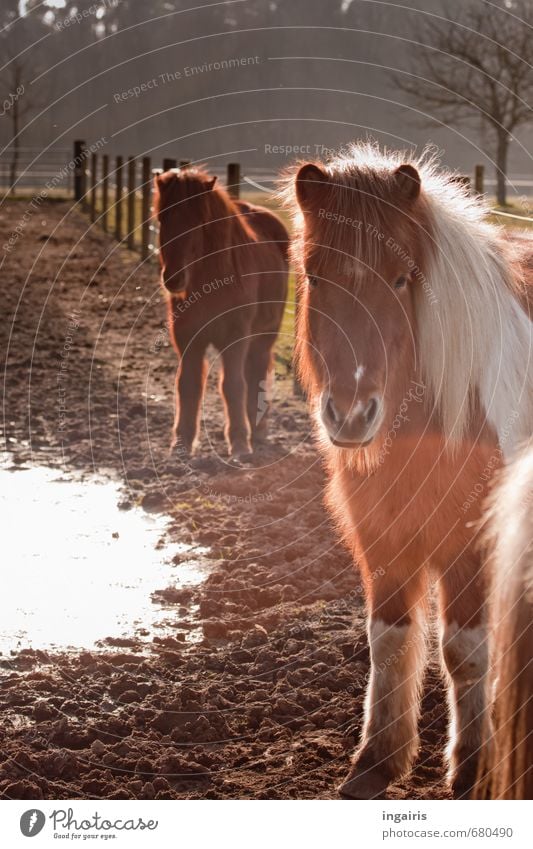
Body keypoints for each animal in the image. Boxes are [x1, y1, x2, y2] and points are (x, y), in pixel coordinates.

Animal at [153, 166, 286, 458]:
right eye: (163, 216)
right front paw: (181, 443)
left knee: (257, 372)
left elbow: (233, 385)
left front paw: (239, 444)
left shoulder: (235, 338)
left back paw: (257, 432)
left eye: (199, 221)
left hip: (263, 336)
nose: (174, 278)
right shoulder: (188, 340)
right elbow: (188, 385)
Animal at [282, 142, 532, 800]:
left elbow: (465, 651)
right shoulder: (382, 537)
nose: (350, 413)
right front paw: (375, 761)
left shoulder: (471, 543)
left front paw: (471, 768)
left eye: (401, 278)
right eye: (314, 276)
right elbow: (389, 641)